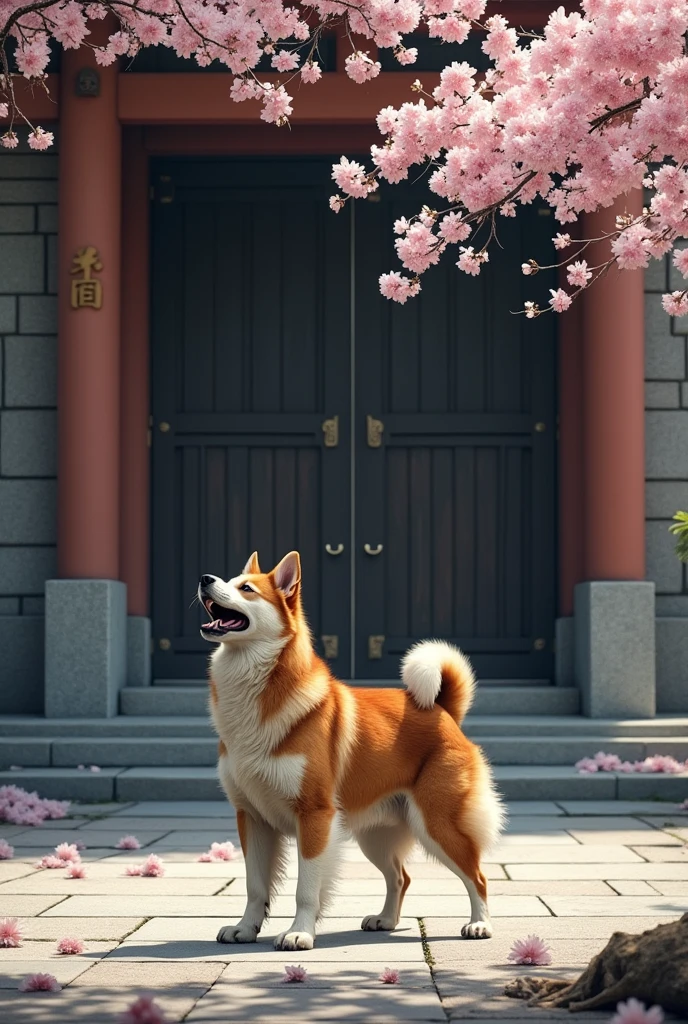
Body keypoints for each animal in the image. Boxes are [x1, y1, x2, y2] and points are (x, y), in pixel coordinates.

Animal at [198, 552, 505, 950]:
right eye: (228, 579)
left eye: (246, 588)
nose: (204, 578)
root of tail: (442, 710)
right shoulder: (251, 817)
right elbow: (254, 886)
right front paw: (245, 928)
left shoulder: (315, 816)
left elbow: (306, 888)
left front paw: (299, 933)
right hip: (375, 836)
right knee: (400, 876)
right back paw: (385, 920)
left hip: (438, 823)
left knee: (477, 876)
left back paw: (479, 925)